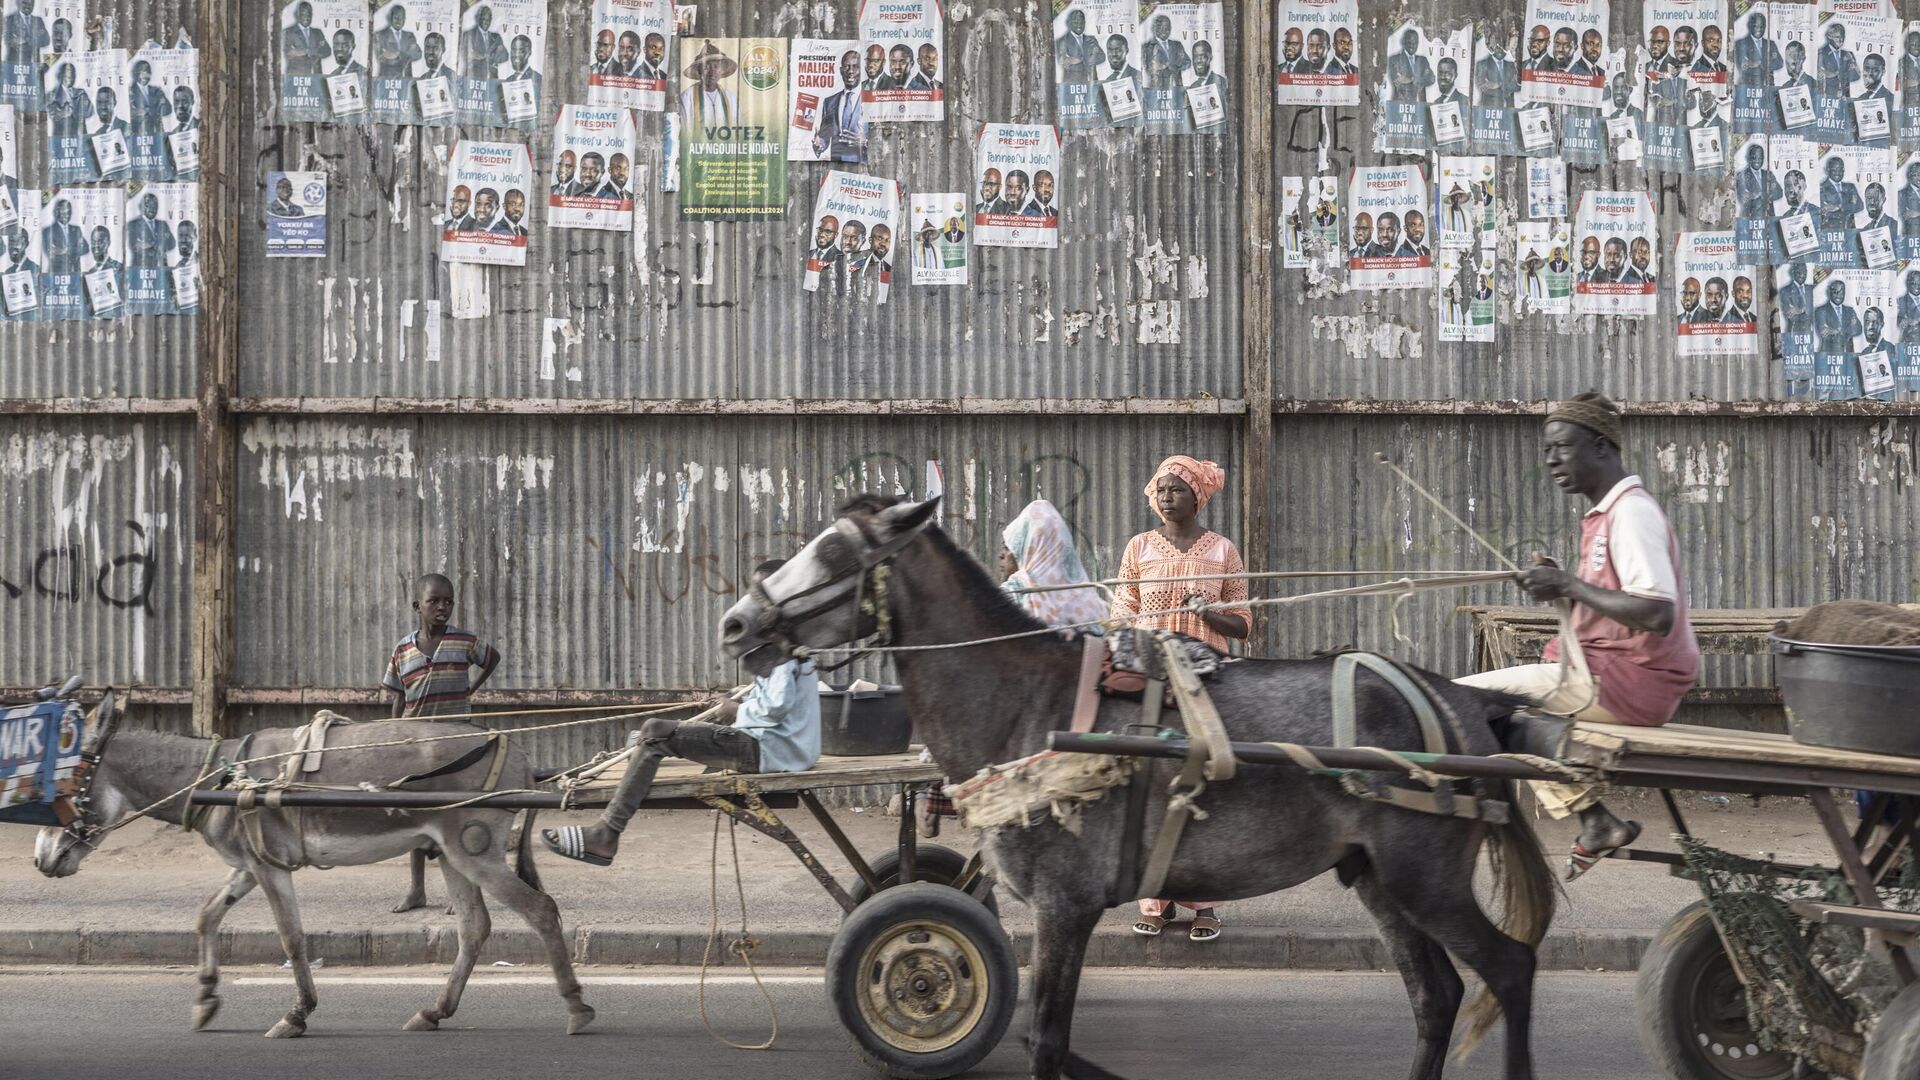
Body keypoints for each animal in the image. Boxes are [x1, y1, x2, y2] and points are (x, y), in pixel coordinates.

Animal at [721, 495, 1559, 1076]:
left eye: (833, 552)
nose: (736, 623)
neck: (1028, 703)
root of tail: (1465, 699)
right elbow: (1046, 1037)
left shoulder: (1065, 904)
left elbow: (1045, 1039)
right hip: (1381, 879)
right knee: (1437, 996)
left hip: (1426, 878)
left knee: (1510, 968)